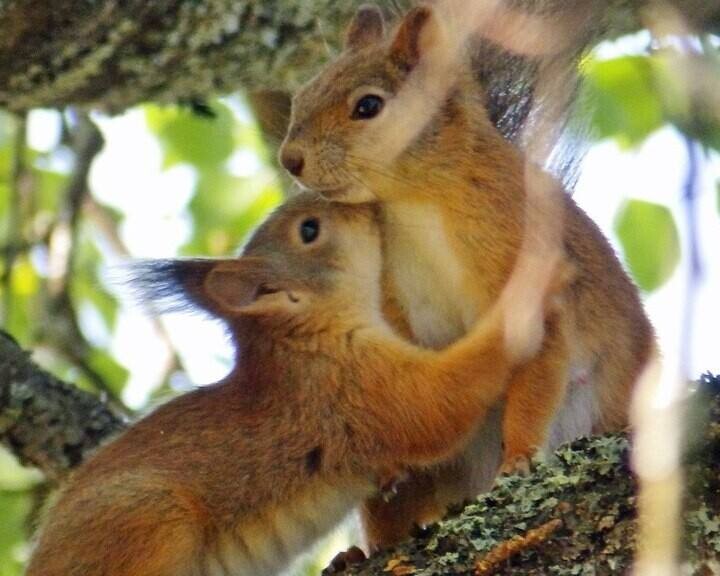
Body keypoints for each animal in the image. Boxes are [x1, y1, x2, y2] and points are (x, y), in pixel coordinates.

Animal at [25, 192, 564, 576]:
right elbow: (441, 403)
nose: (362, 201)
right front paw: (530, 289)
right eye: (309, 230)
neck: (300, 342)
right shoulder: (351, 387)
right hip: (144, 519)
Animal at [278, 1, 660, 548]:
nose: (290, 159)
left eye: (368, 106)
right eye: (302, 95)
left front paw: (518, 458)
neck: (415, 203)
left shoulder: (528, 264)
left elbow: (535, 369)